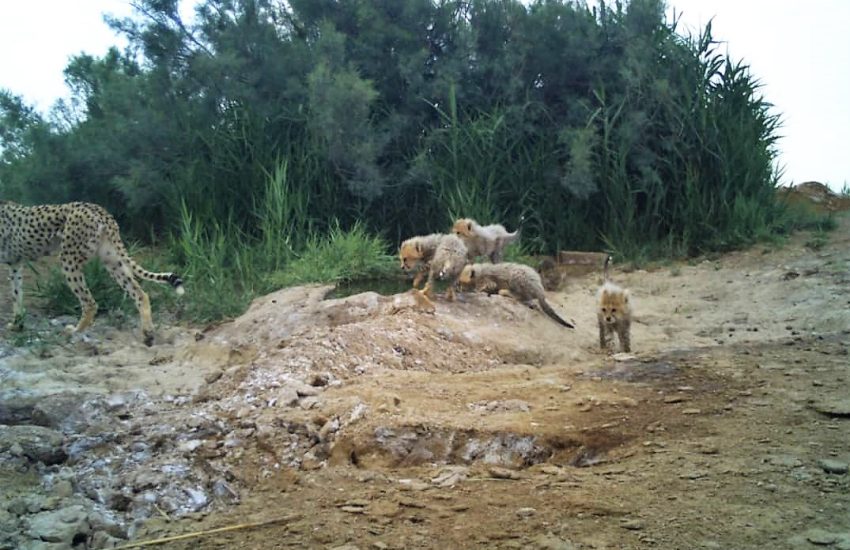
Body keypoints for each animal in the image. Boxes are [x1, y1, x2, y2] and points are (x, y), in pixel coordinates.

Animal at [1, 201, 184, 345]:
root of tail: (98, 209)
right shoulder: (15, 264)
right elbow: (16, 294)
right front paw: (17, 324)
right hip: (112, 260)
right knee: (140, 293)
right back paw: (148, 333)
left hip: (68, 258)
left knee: (90, 303)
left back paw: (75, 331)